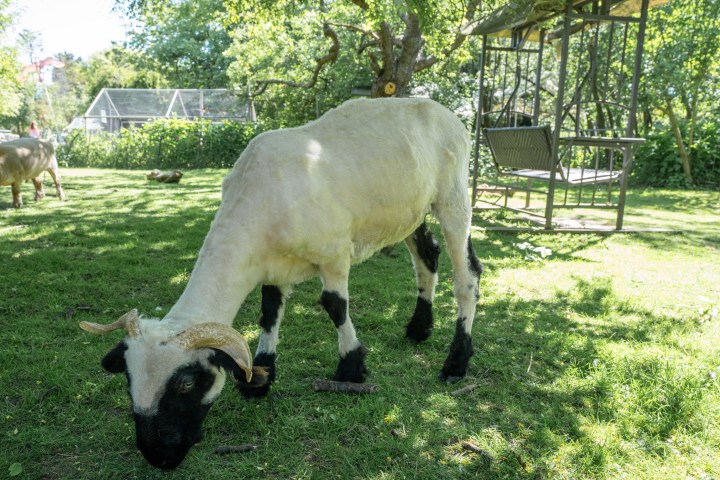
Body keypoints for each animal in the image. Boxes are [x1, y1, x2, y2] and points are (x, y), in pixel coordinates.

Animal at [79, 97, 483, 469]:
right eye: (128, 381)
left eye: (187, 383)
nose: (157, 456)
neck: (258, 204)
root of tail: (444, 111)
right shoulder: (273, 266)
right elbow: (269, 312)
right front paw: (262, 374)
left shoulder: (334, 253)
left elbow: (334, 305)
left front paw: (351, 369)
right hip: (411, 210)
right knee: (427, 257)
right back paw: (418, 329)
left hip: (453, 197)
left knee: (468, 276)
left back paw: (456, 362)